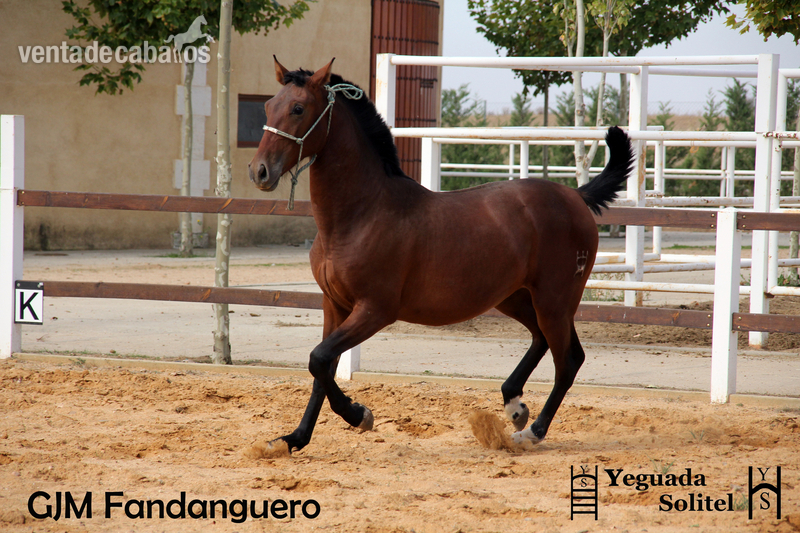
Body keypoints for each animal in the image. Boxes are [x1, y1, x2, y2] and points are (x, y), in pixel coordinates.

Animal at [248, 58, 634, 453]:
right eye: (268, 106)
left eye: (298, 108)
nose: (260, 171)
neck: (362, 214)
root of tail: (576, 196)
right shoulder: (334, 305)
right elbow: (320, 368)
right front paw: (293, 439)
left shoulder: (374, 310)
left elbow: (319, 359)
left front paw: (360, 416)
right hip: (514, 297)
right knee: (543, 341)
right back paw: (514, 405)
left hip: (554, 300)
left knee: (568, 360)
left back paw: (532, 431)